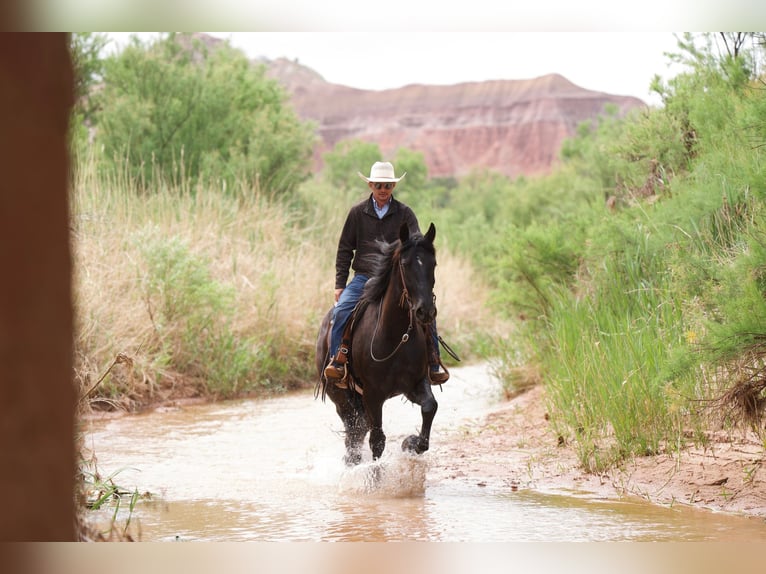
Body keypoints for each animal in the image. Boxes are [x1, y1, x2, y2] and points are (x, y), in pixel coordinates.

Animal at [315, 222, 439, 466]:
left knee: (357, 432)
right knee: (354, 432)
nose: (426, 311)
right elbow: (377, 440)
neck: (396, 336)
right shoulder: (373, 394)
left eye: (433, 263)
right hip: (340, 396)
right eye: (405, 264)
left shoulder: (414, 384)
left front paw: (410, 443)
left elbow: (430, 407)